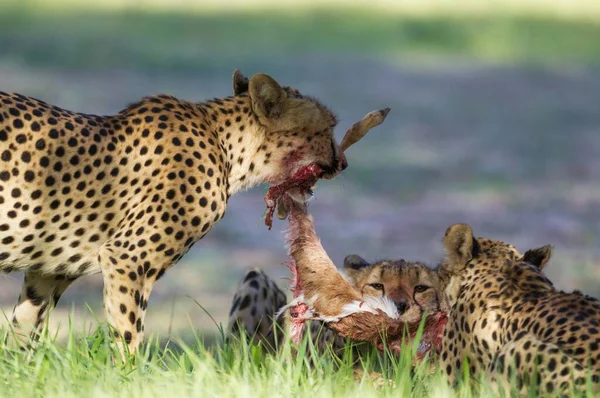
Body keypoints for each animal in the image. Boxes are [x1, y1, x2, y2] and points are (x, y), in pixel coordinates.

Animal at [0, 71, 346, 354]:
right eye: (329, 127)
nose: (343, 163)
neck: (227, 147)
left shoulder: (47, 270)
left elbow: (22, 335)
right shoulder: (126, 258)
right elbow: (128, 337)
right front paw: (128, 381)